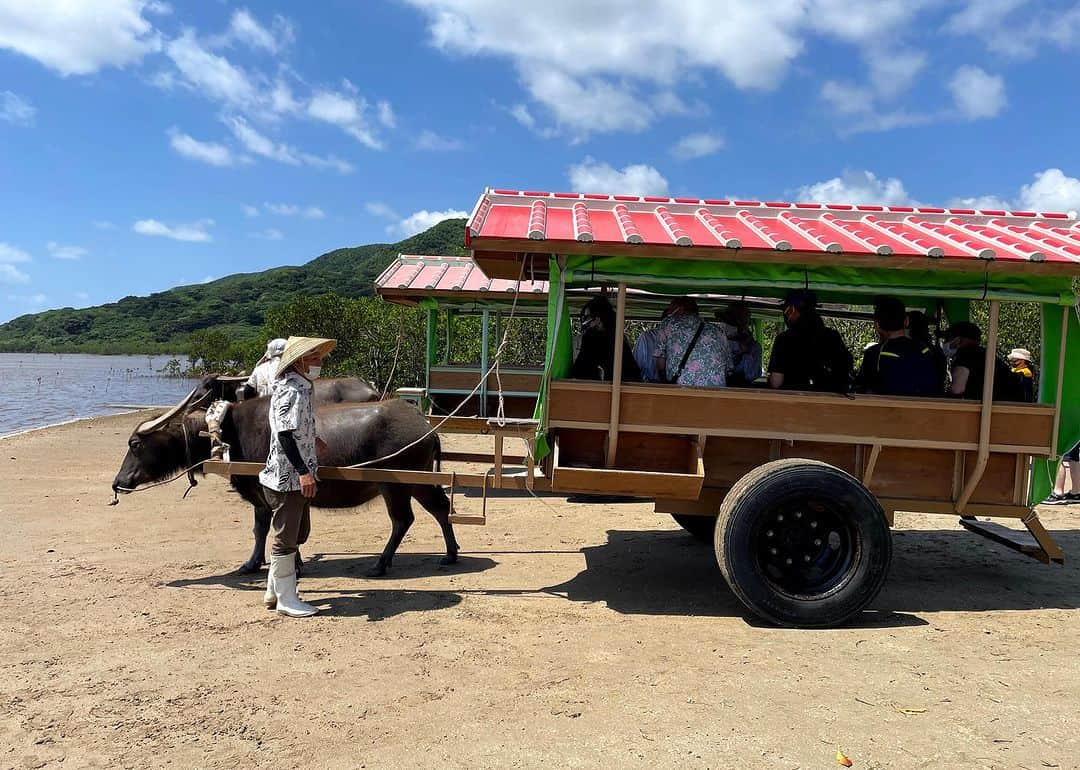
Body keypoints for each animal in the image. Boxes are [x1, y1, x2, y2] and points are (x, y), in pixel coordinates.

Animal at [111, 397, 457, 578]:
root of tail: (426, 427)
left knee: (405, 519)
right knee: (439, 510)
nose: (118, 482)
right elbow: (263, 529)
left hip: (399, 484)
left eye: (135, 443)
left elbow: (275, 529)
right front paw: (255, 563)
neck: (230, 433)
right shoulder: (262, 498)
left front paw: (283, 564)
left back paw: (381, 564)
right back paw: (449, 554)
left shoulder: (268, 495)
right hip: (413, 484)